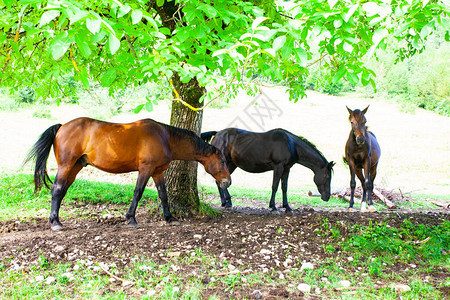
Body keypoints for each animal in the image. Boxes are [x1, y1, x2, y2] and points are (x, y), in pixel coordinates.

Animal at [23, 117, 232, 230]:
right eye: (222, 161)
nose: (227, 182)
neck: (164, 137)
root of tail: (62, 126)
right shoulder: (146, 169)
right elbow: (138, 192)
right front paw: (131, 218)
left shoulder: (158, 172)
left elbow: (164, 195)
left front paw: (170, 218)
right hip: (66, 166)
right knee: (57, 189)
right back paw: (55, 222)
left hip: (75, 167)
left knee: (61, 191)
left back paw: (56, 219)